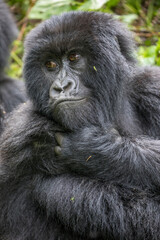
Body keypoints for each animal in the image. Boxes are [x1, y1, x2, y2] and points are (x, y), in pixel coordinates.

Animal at [0, 10, 160, 240]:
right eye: (50, 65)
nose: (61, 87)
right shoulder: (19, 134)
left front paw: (95, 149)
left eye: (74, 57)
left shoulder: (152, 87)